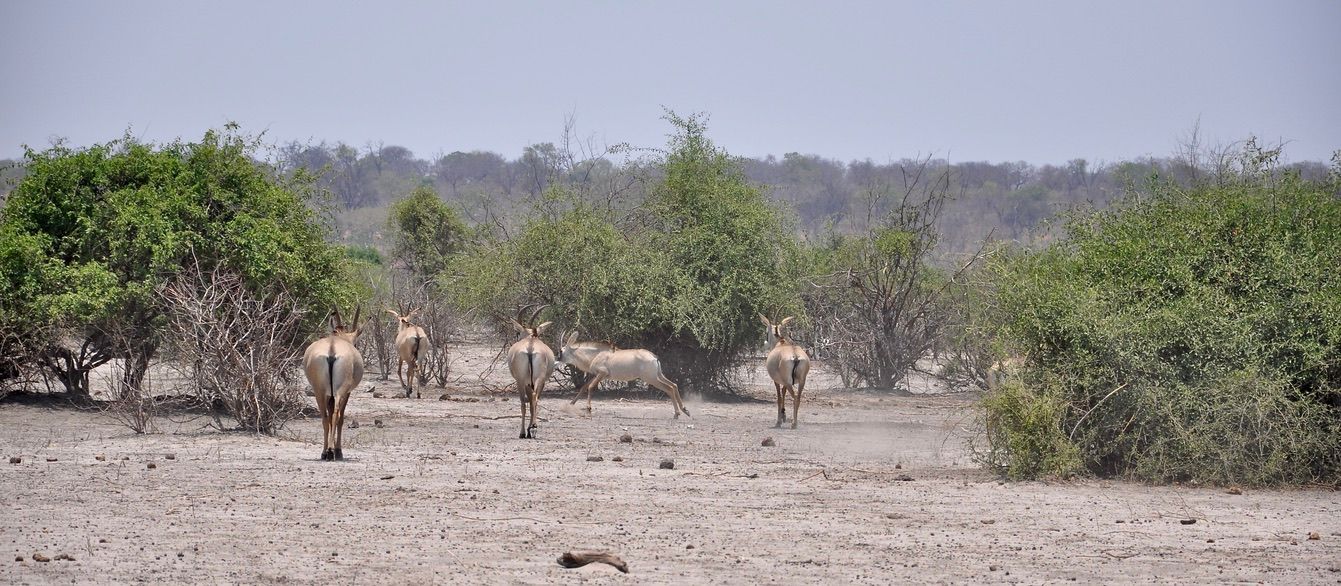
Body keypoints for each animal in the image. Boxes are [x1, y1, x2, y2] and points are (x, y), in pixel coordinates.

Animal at [302, 307, 365, 461]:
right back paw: (332, 451)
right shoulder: (347, 392)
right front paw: (338, 450)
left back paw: (325, 452)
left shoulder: (327, 394)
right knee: (337, 414)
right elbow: (340, 418)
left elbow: (329, 417)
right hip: (339, 391)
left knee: (325, 417)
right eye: (355, 343)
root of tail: (332, 348)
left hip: (319, 391)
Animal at [506, 305, 555, 439]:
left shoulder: (526, 382)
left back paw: (523, 432)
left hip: (521, 381)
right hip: (539, 380)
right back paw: (533, 427)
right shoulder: (534, 382)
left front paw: (526, 431)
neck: (531, 338)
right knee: (535, 398)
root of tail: (530, 347)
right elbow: (533, 402)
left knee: (524, 403)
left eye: (518, 333)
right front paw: (531, 428)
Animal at [557, 332, 690, 419]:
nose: (556, 361)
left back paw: (677, 413)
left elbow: (589, 387)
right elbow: (584, 387)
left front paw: (589, 408)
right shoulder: (597, 375)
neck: (595, 355)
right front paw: (571, 404)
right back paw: (685, 410)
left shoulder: (602, 373)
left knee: (669, 388)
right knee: (674, 385)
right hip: (658, 376)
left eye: (561, 351)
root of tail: (653, 357)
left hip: (651, 379)